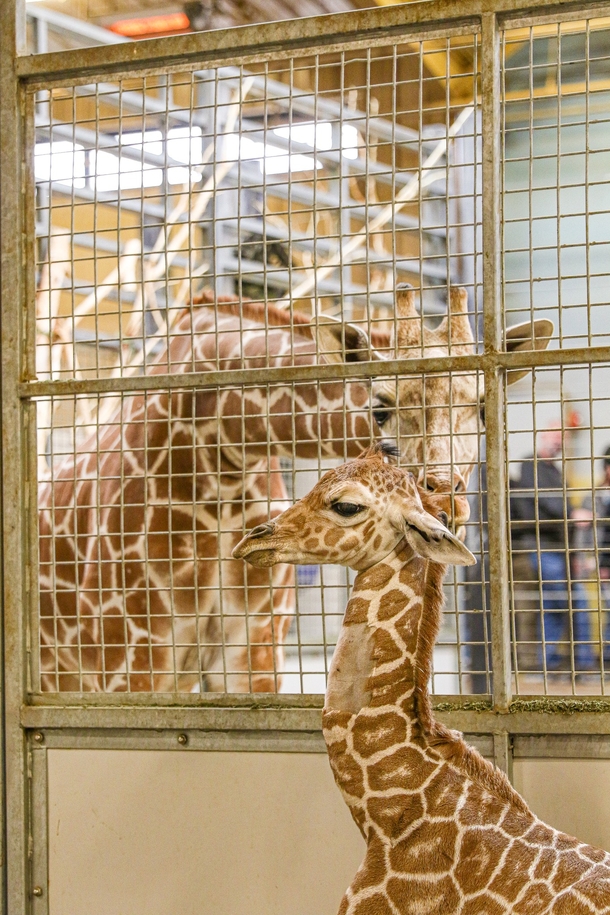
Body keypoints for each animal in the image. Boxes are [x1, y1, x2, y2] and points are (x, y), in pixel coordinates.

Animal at [39, 287, 550, 692]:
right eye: (380, 408)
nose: (445, 502)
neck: (221, 459)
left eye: (483, 408)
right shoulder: (129, 658)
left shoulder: (255, 648)